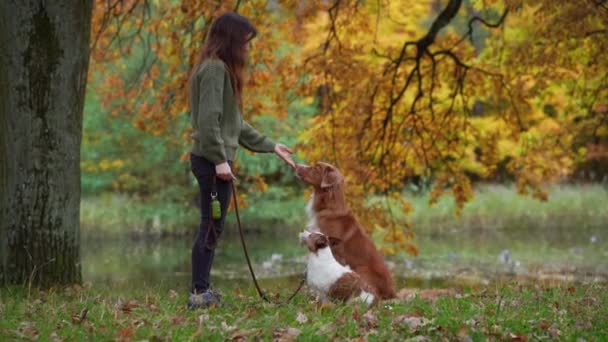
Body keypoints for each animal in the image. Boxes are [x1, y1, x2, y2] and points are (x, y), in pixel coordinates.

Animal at [296, 162, 400, 298]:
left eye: (316, 167)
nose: (296, 165)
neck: (329, 207)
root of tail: (392, 293)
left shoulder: (334, 250)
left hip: (360, 269)